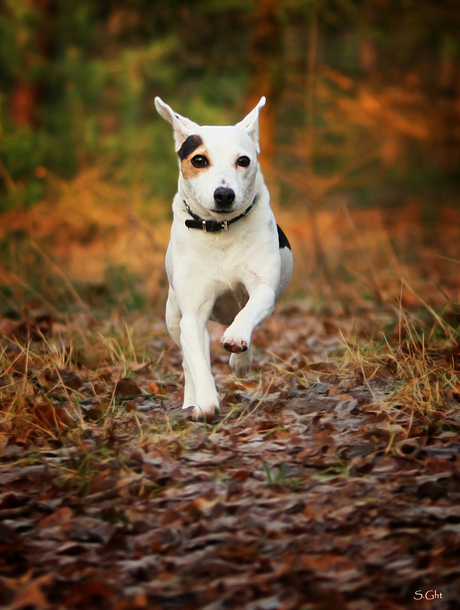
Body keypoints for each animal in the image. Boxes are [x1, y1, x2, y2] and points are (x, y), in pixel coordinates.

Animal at [155, 96, 292, 418]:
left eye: (243, 160)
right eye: (199, 160)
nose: (224, 194)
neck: (221, 230)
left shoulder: (263, 289)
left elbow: (249, 312)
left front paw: (237, 341)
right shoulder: (193, 315)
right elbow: (197, 359)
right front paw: (204, 404)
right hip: (172, 316)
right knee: (186, 361)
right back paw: (190, 400)